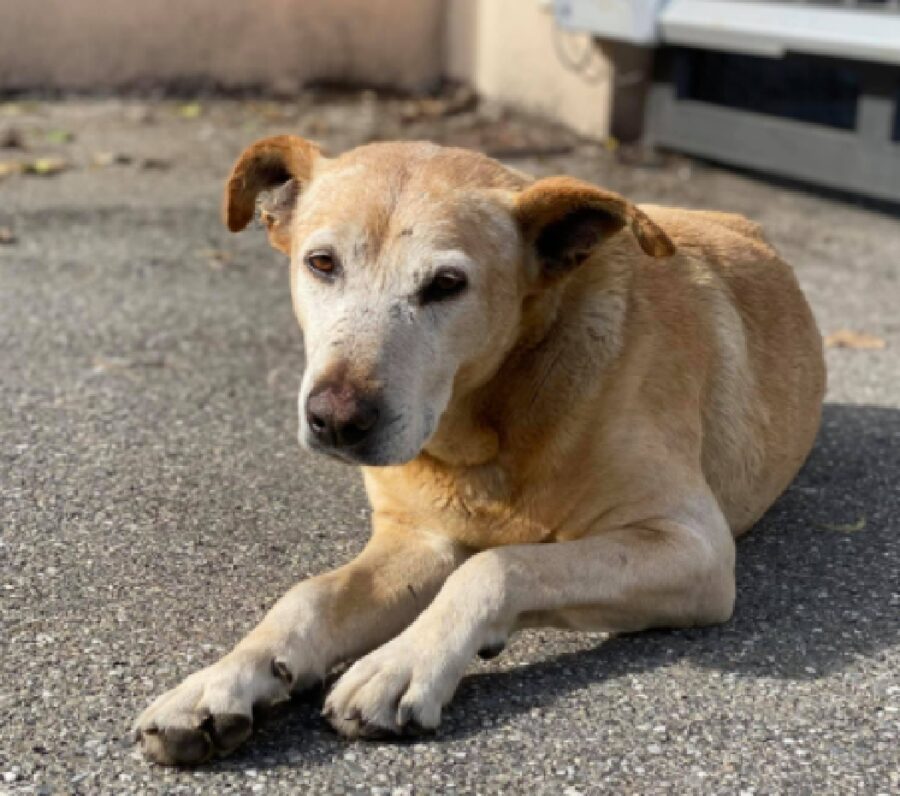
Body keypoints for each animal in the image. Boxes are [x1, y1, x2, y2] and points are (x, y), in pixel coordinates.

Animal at [132, 137, 824, 764]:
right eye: (321, 263)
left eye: (446, 284)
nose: (335, 420)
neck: (488, 428)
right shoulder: (419, 540)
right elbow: (309, 595)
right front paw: (220, 683)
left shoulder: (693, 548)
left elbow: (497, 565)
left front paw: (403, 662)